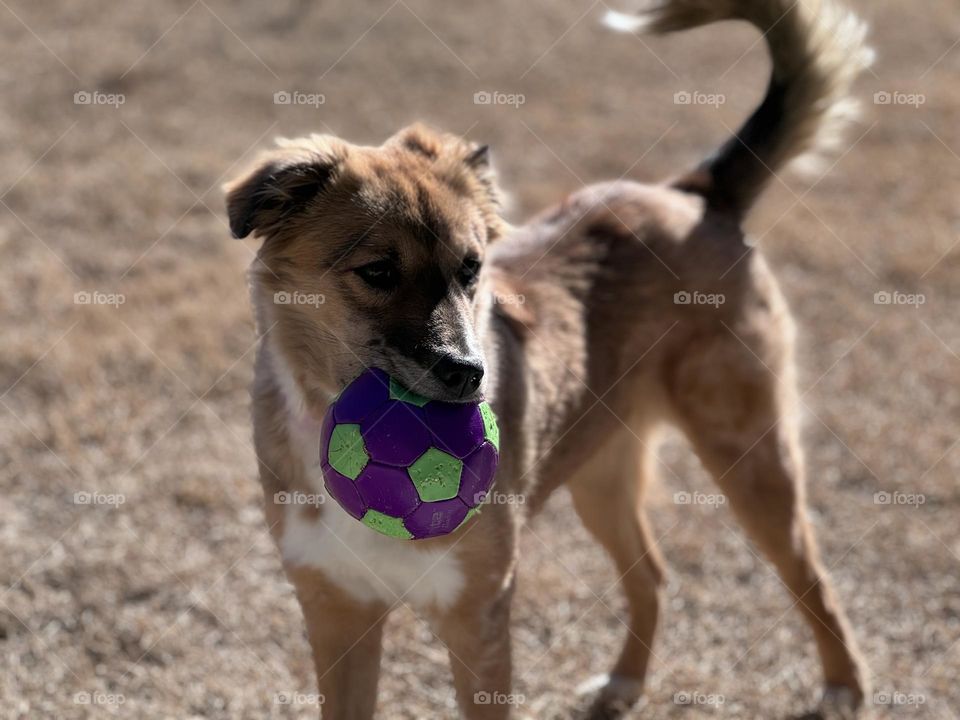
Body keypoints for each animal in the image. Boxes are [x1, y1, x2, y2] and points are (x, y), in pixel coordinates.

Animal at [229, 0, 872, 716]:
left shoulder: (477, 617)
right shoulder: (339, 614)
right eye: (377, 272)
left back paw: (844, 687)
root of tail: (696, 193)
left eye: (471, 269)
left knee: (812, 576)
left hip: (749, 456)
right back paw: (624, 684)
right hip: (602, 471)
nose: (469, 375)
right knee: (651, 575)